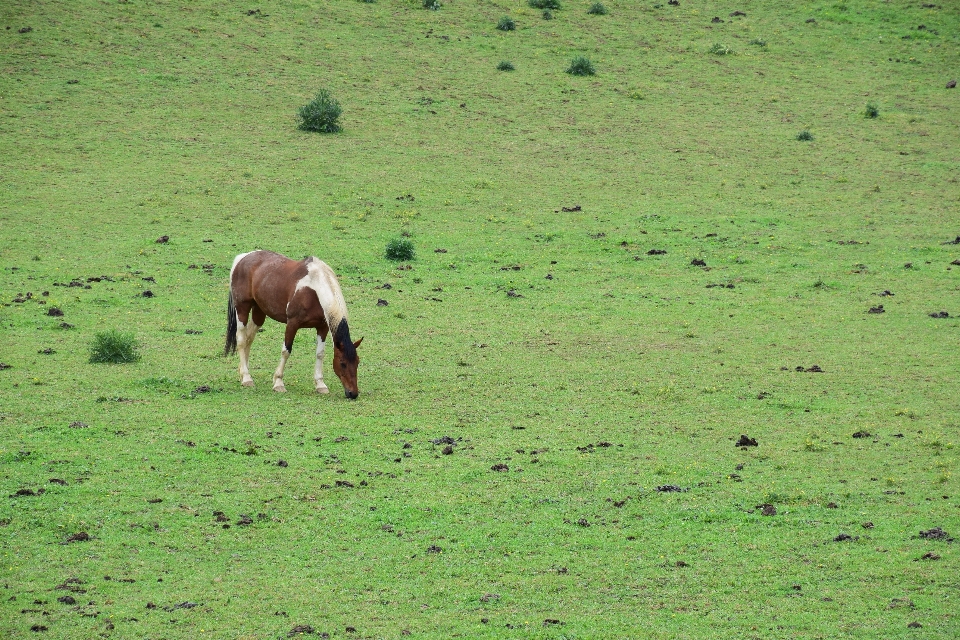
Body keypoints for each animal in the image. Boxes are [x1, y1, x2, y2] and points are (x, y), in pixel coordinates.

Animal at [223, 249, 362, 396]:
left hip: (259, 313)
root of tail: (243, 257)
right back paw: (246, 378)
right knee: (241, 339)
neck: (314, 289)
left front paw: (320, 384)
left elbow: (320, 354)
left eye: (357, 362)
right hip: (242, 309)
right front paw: (278, 383)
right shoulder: (292, 324)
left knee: (249, 338)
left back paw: (244, 372)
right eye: (342, 363)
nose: (353, 393)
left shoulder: (322, 327)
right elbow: (286, 351)